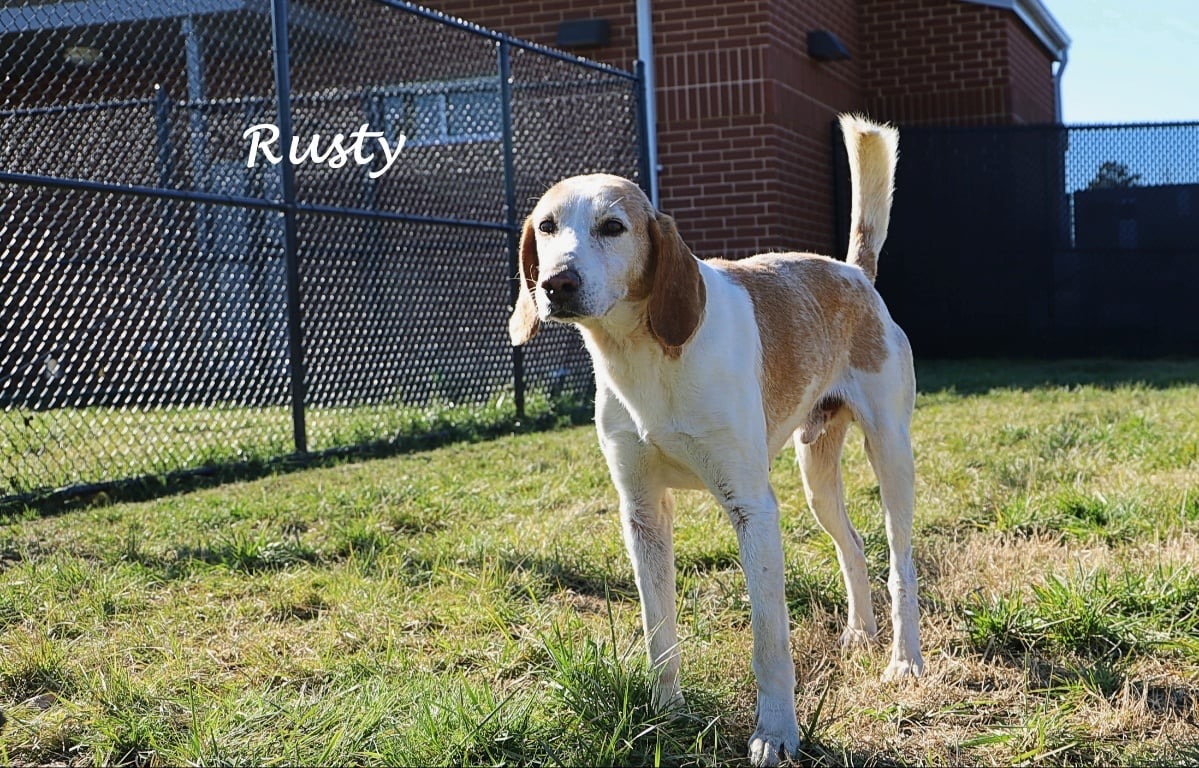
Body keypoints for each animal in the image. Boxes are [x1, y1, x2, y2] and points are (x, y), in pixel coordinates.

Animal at [510, 115, 920, 766]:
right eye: (546, 227)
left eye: (612, 227)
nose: (555, 284)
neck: (645, 359)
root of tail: (852, 271)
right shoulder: (643, 514)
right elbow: (659, 630)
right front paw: (667, 714)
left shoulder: (752, 509)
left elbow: (770, 642)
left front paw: (777, 734)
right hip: (815, 478)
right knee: (853, 546)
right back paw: (860, 633)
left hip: (890, 455)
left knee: (901, 564)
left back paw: (904, 661)